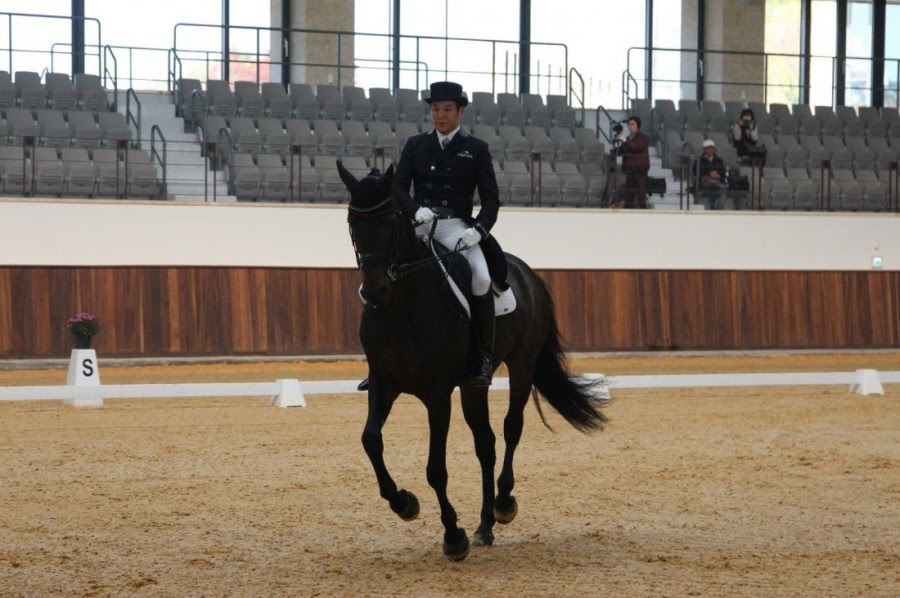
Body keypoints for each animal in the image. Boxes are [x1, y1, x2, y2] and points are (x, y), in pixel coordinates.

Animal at [340, 164, 612, 564]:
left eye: (390, 221)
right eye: (351, 222)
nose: (374, 293)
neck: (402, 308)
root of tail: (526, 272)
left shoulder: (438, 395)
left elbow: (436, 469)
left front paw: (453, 536)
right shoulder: (383, 383)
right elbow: (370, 441)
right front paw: (404, 503)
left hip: (521, 364)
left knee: (512, 428)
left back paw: (502, 505)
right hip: (472, 385)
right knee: (486, 442)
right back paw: (485, 526)